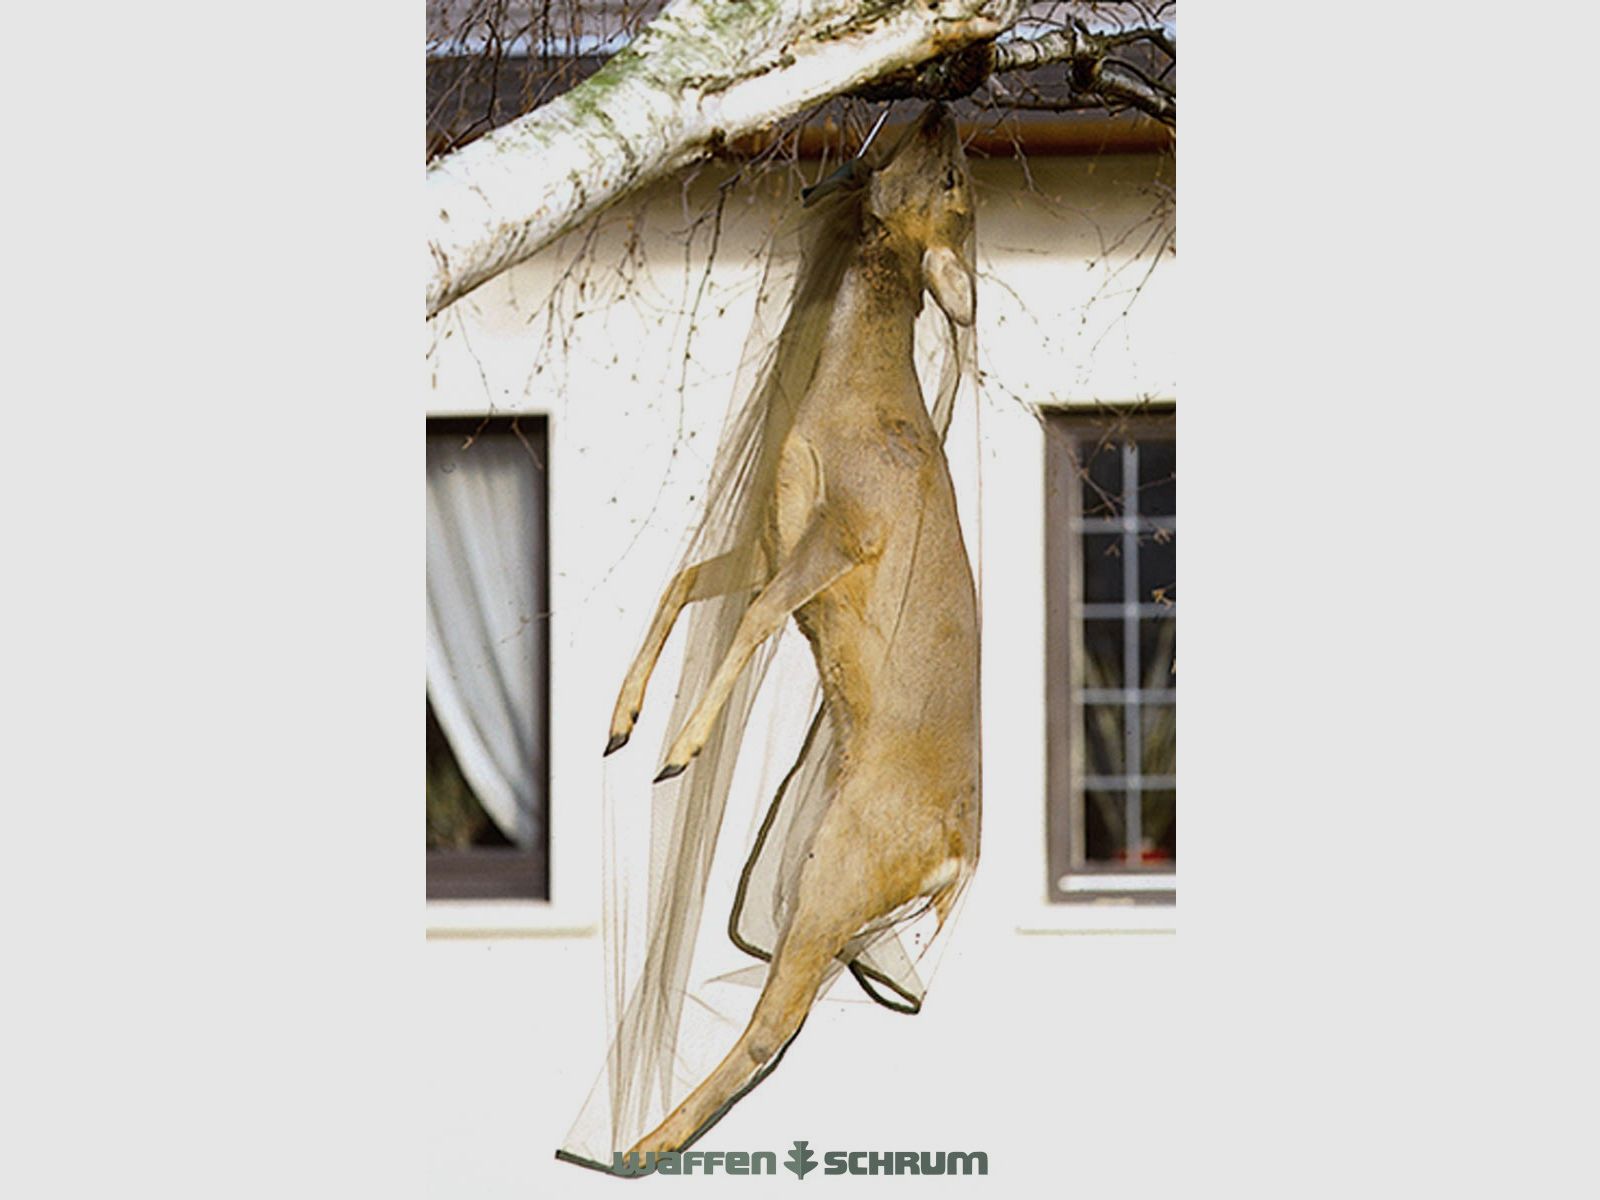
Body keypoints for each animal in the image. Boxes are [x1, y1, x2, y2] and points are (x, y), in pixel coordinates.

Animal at [601, 103, 981, 1159]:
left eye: (954, 182)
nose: (943, 108)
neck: (846, 396)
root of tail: (958, 854)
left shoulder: (848, 532)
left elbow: (760, 612)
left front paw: (681, 751)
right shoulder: (777, 533)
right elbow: (689, 581)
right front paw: (622, 723)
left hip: (842, 875)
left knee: (775, 1024)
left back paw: (643, 1144)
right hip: (824, 876)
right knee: (785, 1018)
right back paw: (655, 1139)